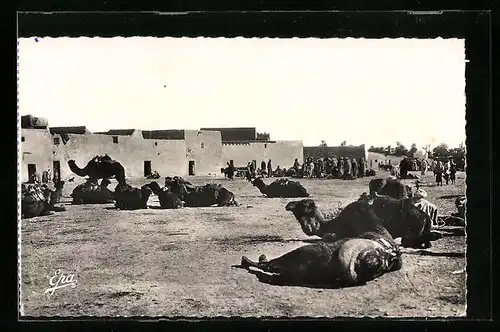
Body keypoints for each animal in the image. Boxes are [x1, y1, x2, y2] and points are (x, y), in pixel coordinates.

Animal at [286, 197, 442, 249]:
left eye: (309, 210)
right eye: (296, 215)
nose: (307, 227)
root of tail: (425, 216)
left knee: (407, 240)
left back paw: (436, 235)